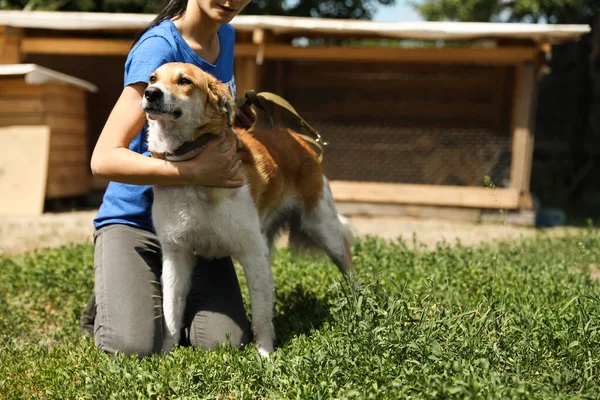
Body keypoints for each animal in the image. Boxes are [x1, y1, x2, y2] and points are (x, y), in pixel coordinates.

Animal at [142, 62, 356, 356]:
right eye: (152, 79)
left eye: (184, 81)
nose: (150, 93)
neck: (193, 167)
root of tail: (300, 139)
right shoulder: (177, 255)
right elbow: (171, 313)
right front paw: (165, 355)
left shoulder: (251, 252)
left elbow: (261, 315)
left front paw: (265, 354)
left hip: (324, 228)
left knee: (348, 265)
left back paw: (361, 303)